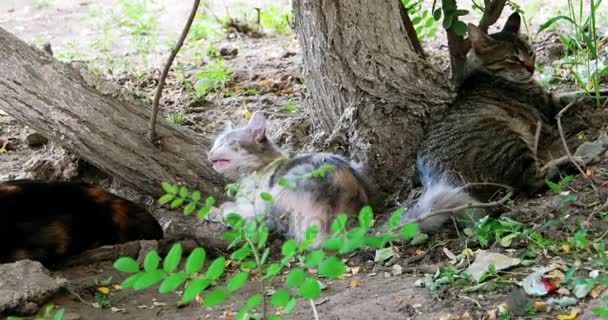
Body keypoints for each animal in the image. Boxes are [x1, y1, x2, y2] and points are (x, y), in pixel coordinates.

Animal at [207, 112, 368, 248]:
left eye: (226, 143)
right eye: (215, 143)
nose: (209, 153)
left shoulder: (256, 207)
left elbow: (229, 207)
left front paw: (214, 211)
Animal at [402, 12, 588, 231]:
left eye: (531, 53)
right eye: (513, 58)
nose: (532, 68)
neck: (483, 73)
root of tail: (436, 180)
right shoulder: (551, 104)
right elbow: (583, 96)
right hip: (508, 141)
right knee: (532, 181)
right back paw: (570, 163)